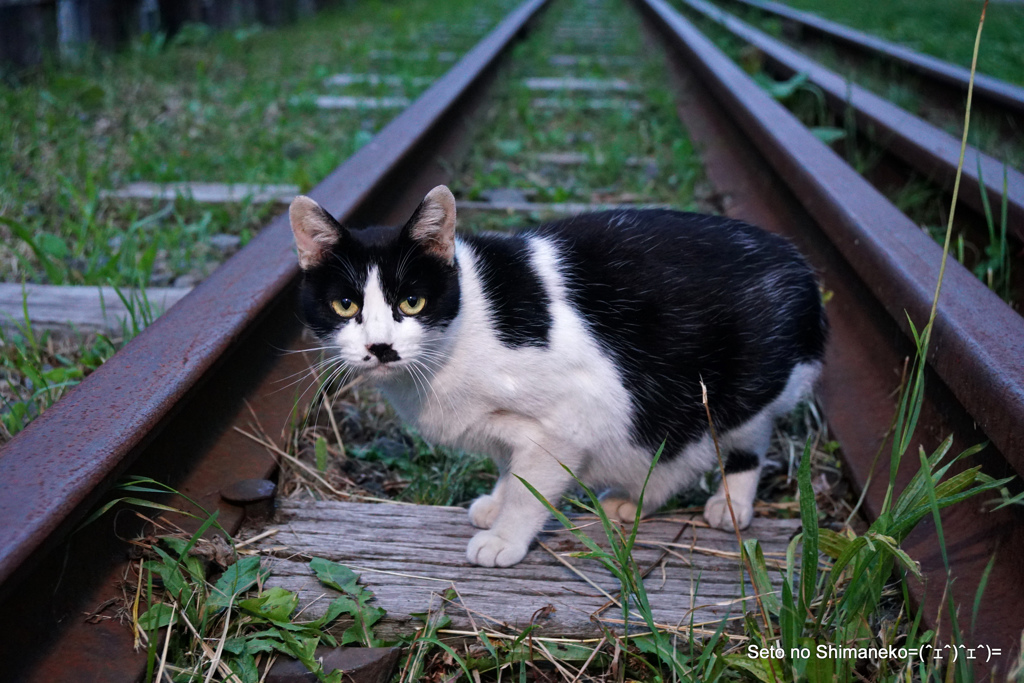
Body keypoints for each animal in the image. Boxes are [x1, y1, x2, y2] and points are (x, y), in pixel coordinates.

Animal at [286, 185, 823, 565]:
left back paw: (728, 505)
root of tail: (798, 263)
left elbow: (531, 488)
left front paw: (505, 537)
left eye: (412, 302)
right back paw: (633, 500)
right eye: (345, 304)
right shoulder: (516, 429)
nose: (380, 346)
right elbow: (511, 468)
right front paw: (496, 504)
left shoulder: (570, 419)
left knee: (737, 442)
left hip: (730, 392)